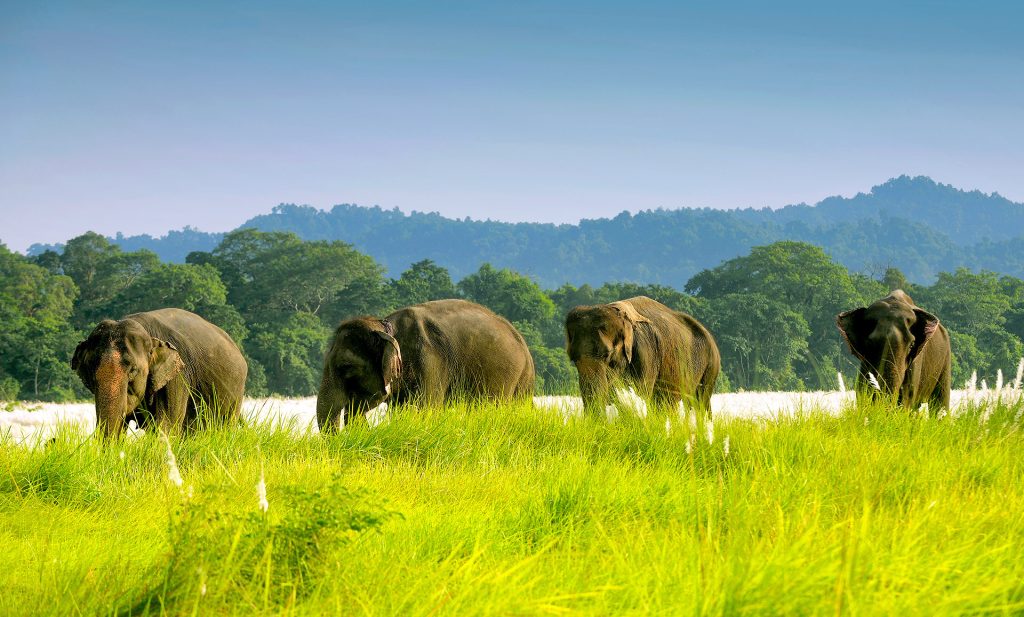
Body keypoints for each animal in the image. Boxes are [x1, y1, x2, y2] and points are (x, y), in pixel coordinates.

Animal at [317, 299, 535, 431]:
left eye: (346, 367)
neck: (386, 327)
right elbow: (398, 412)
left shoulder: (431, 360)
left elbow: (426, 408)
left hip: (519, 376)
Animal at [565, 296, 720, 418]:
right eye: (573, 359)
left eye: (607, 355)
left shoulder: (647, 352)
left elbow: (640, 393)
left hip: (711, 366)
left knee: (700, 401)